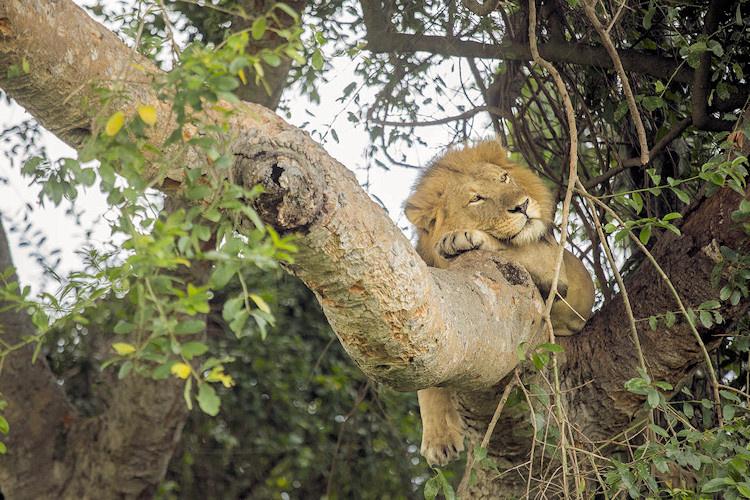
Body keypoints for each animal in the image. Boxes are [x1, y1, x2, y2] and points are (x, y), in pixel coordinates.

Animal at [402, 139, 596, 466]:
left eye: (503, 178)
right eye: (476, 199)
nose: (523, 205)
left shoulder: (551, 264)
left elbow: (511, 247)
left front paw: (461, 238)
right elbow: (427, 383)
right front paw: (439, 440)